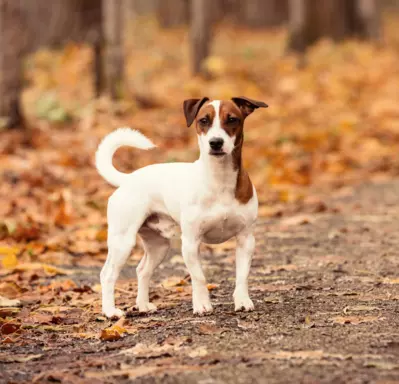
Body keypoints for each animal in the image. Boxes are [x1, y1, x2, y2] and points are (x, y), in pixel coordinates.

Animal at [95, 97, 268, 318]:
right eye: (204, 120)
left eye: (232, 119)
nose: (216, 142)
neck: (219, 179)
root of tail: (128, 179)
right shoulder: (191, 242)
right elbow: (199, 277)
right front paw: (202, 305)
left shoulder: (246, 239)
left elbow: (242, 275)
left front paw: (243, 301)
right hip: (122, 241)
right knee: (107, 274)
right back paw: (110, 311)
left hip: (158, 245)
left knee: (142, 270)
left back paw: (142, 305)